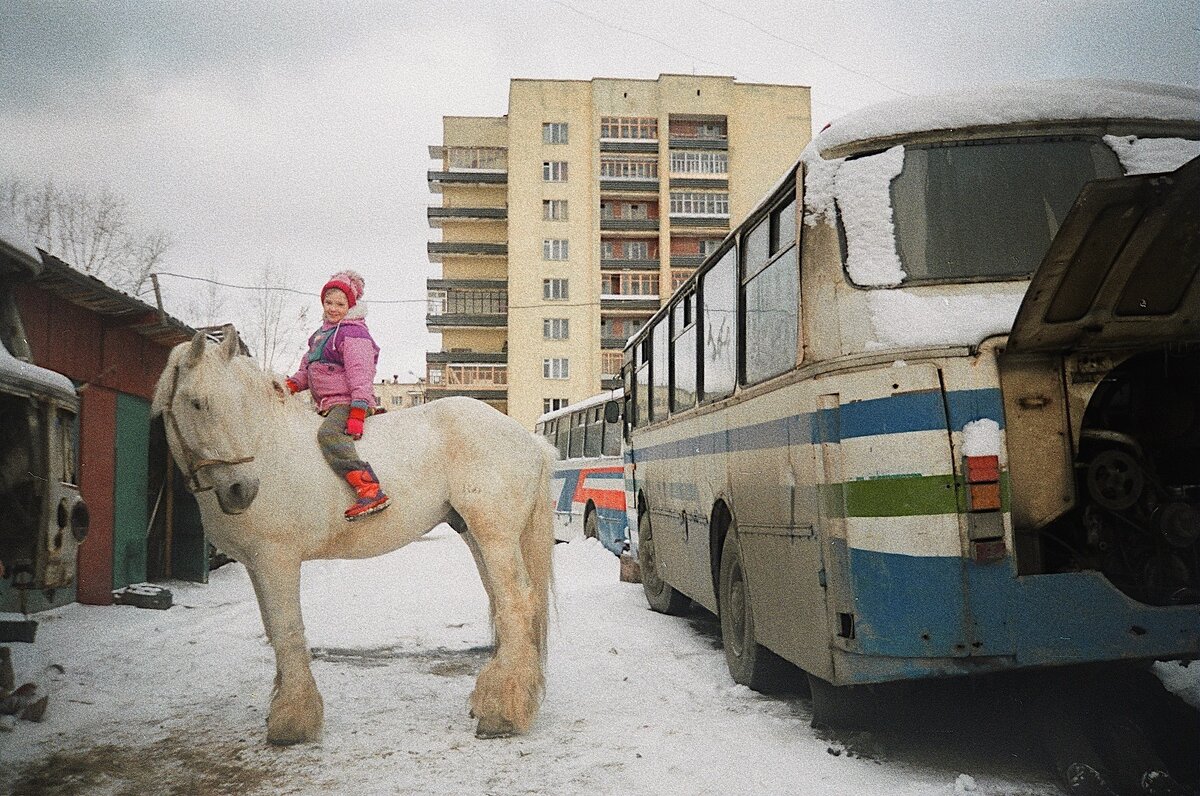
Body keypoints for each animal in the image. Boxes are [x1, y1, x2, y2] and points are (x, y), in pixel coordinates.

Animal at [151, 326, 556, 744]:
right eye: (197, 403)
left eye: (239, 404)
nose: (241, 490)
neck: (268, 448)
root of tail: (530, 441)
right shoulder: (255, 566)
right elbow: (273, 630)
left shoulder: (276, 560)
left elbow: (287, 629)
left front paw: (292, 721)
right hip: (476, 536)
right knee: (503, 604)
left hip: (495, 536)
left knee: (515, 603)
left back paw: (502, 713)